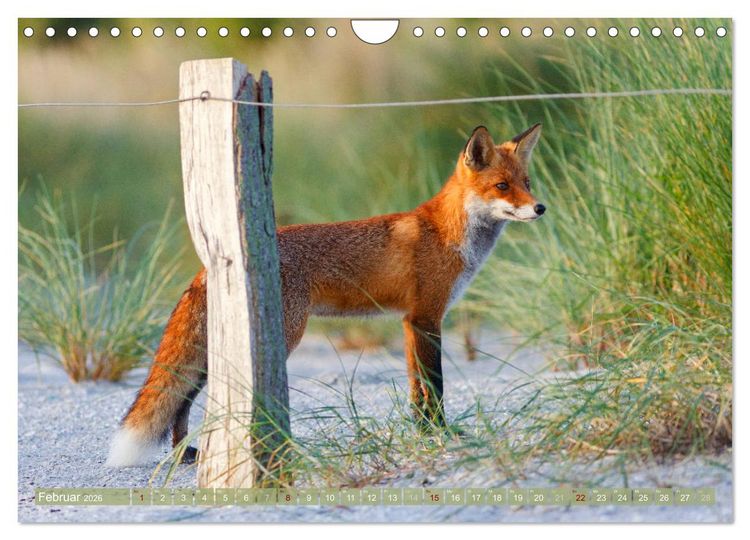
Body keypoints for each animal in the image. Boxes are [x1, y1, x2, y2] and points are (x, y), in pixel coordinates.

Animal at [106, 123, 546, 467]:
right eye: (502, 186)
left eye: (526, 184)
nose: (540, 208)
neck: (448, 233)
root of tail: (210, 263)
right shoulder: (427, 317)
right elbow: (434, 386)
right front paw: (441, 432)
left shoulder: (410, 321)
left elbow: (415, 390)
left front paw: (422, 432)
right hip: (282, 334)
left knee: (181, 400)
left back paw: (185, 453)